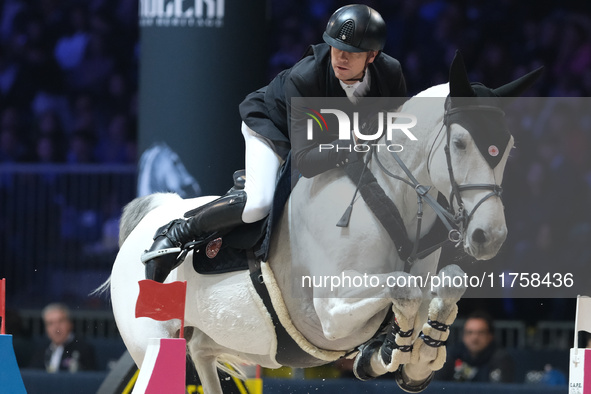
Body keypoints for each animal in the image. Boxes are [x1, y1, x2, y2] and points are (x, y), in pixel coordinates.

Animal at [103, 53, 540, 394]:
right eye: (460, 144)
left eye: (508, 148)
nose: (488, 237)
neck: (390, 201)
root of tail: (154, 213)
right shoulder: (331, 313)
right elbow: (405, 288)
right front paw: (397, 349)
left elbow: (448, 282)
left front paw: (415, 357)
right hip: (153, 344)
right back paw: (165, 247)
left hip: (203, 347)